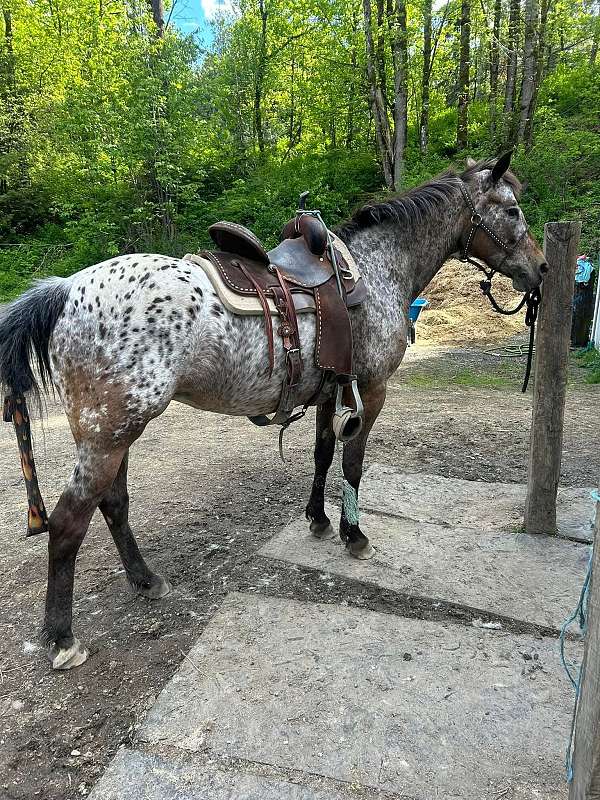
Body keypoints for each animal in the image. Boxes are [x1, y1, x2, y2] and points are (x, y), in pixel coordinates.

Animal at [0, 152, 547, 670]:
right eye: (513, 209)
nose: (541, 269)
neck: (377, 269)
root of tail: (65, 290)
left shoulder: (331, 391)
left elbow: (323, 455)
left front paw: (319, 521)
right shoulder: (372, 391)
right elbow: (353, 464)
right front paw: (353, 534)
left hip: (114, 434)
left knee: (113, 504)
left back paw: (146, 580)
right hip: (108, 436)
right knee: (67, 522)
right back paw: (63, 639)